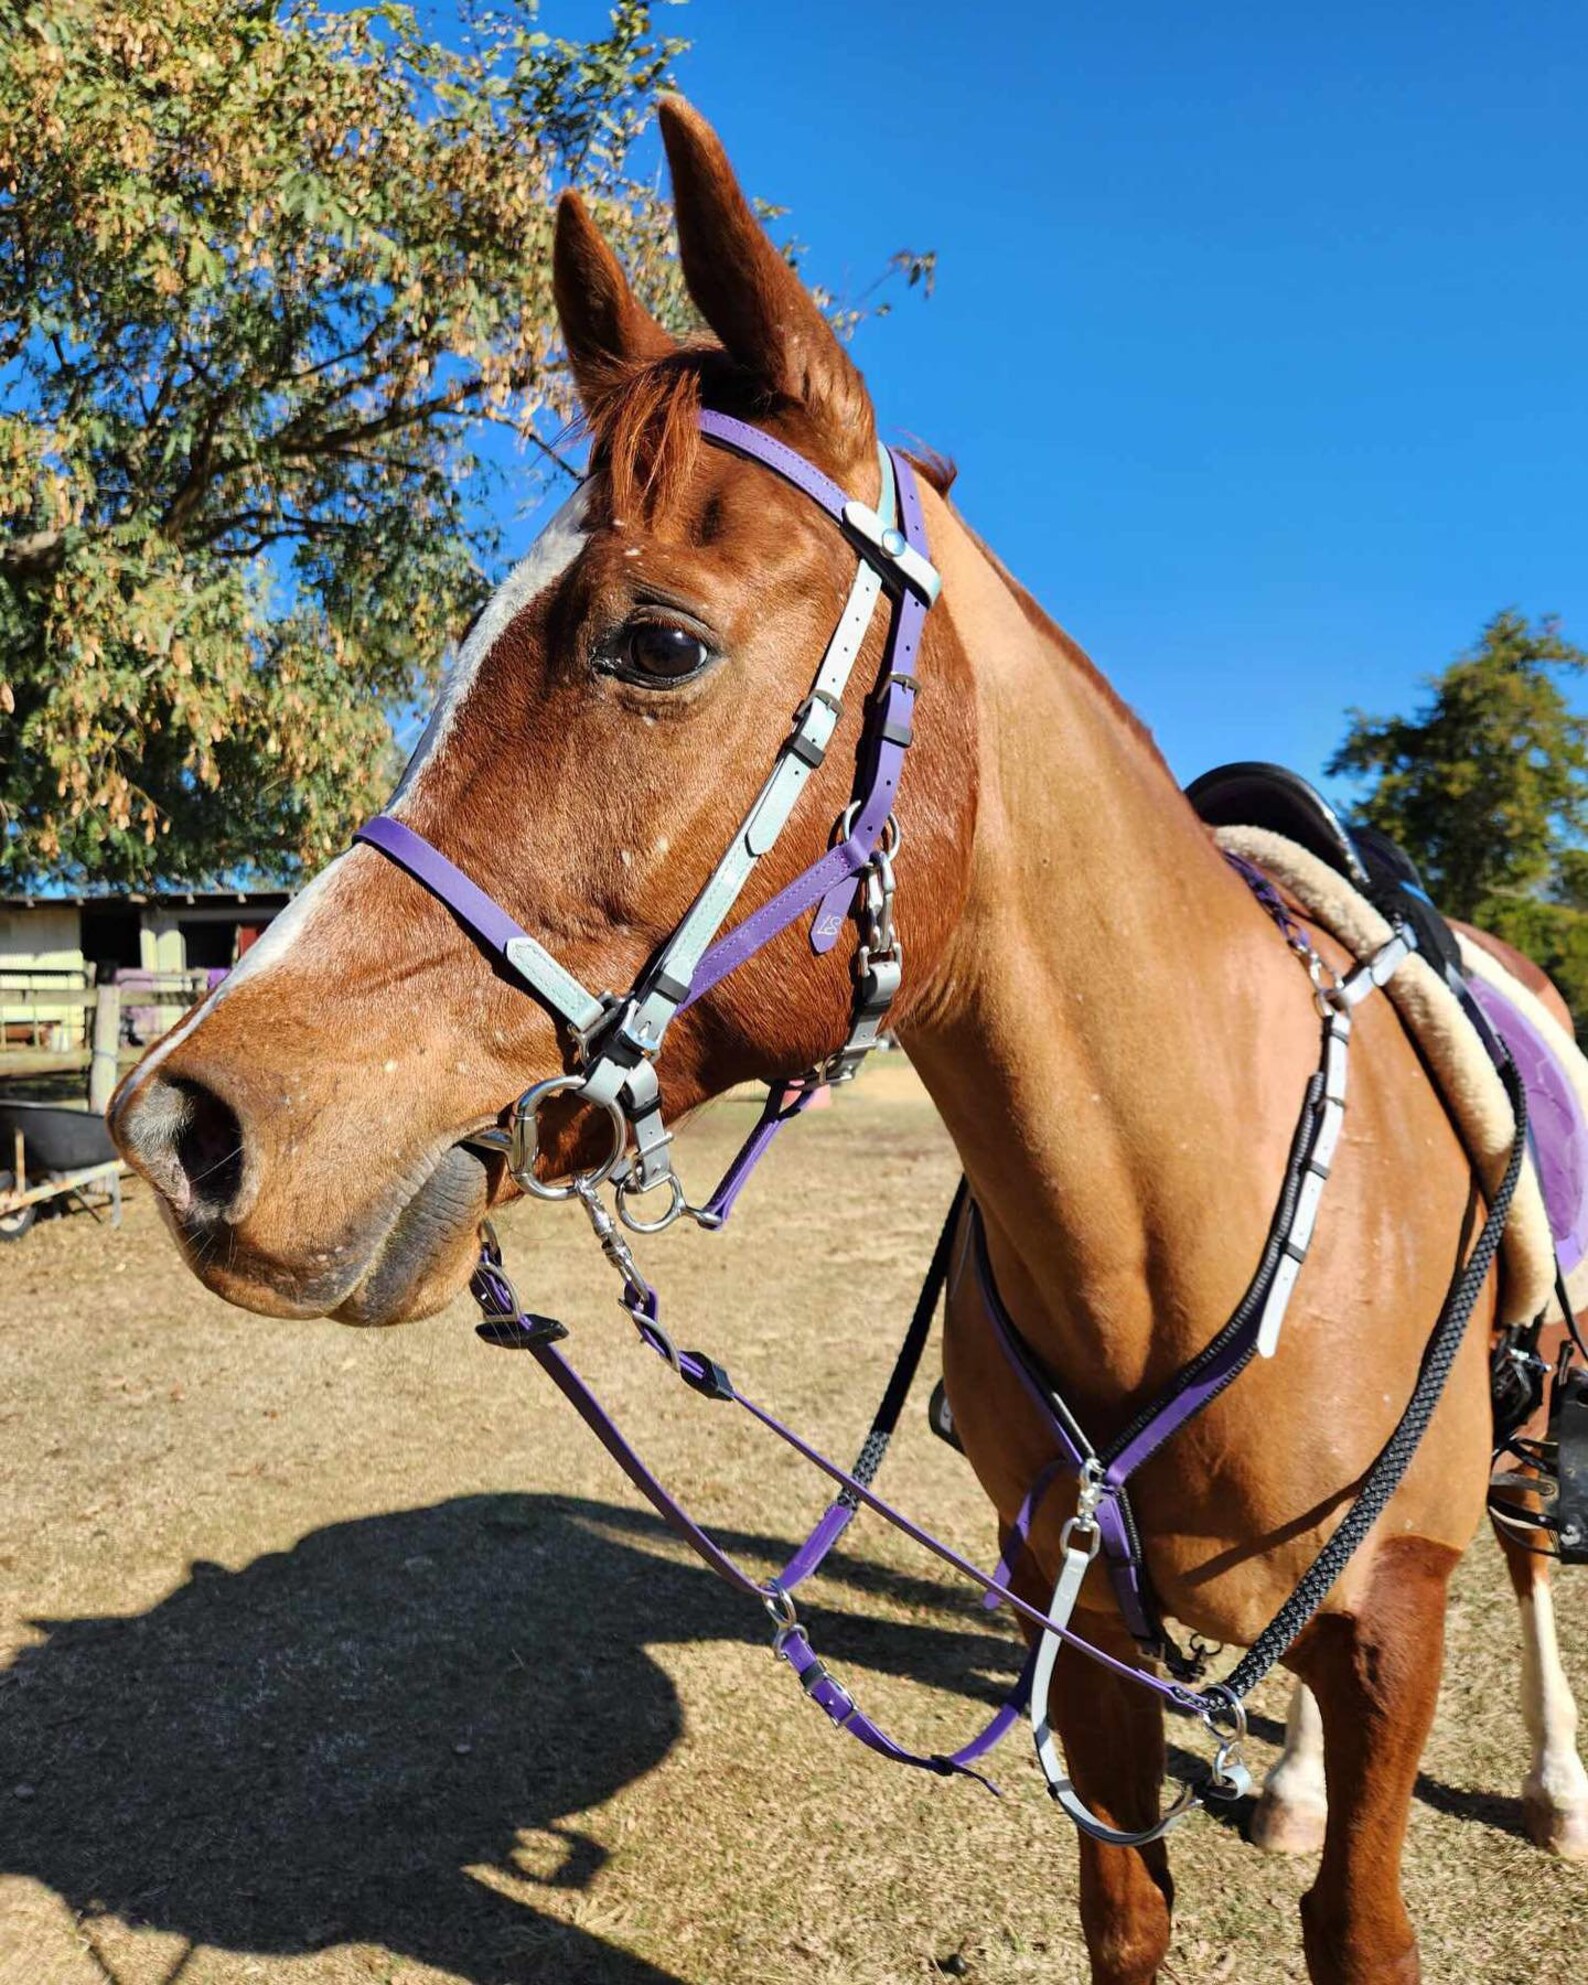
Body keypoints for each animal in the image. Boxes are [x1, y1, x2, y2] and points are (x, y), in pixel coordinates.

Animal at [109, 96, 1586, 1984]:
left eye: (656, 644)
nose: (188, 1127)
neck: (1185, 1224)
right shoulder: (1078, 1628)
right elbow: (1127, 1908)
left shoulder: (1393, 1614)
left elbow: (1364, 1918)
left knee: (1529, 1554)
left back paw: (1546, 1782)